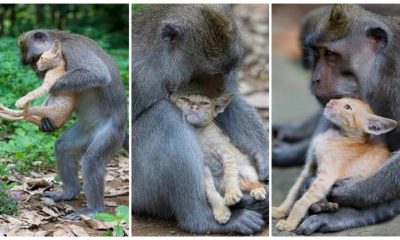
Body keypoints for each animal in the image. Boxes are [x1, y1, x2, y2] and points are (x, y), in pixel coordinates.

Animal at [18, 29, 127, 219]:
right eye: (31, 63)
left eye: (35, 59)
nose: (38, 72)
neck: (59, 42)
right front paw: (46, 123)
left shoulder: (73, 50)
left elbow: (97, 74)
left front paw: (49, 86)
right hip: (86, 130)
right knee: (64, 147)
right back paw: (69, 192)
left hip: (111, 134)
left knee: (92, 161)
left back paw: (94, 209)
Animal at [134, 4, 268, 235]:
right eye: (209, 73)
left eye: (228, 70)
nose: (220, 87)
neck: (161, 64)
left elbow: (230, 104)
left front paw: (264, 155)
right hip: (143, 194)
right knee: (164, 115)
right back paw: (201, 219)